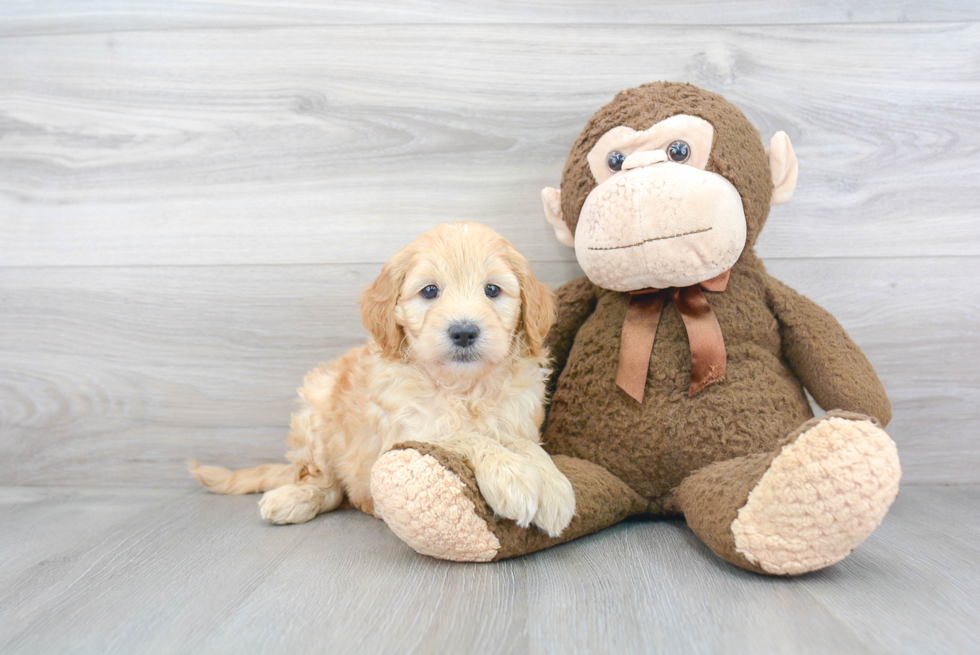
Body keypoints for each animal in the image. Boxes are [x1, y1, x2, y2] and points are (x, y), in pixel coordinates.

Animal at [191, 224, 576, 540]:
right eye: (430, 291)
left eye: (492, 290)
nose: (464, 331)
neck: (463, 386)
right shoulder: (409, 431)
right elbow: (462, 436)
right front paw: (511, 475)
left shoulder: (518, 420)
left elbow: (527, 446)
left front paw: (553, 485)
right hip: (315, 411)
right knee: (329, 486)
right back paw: (296, 499)